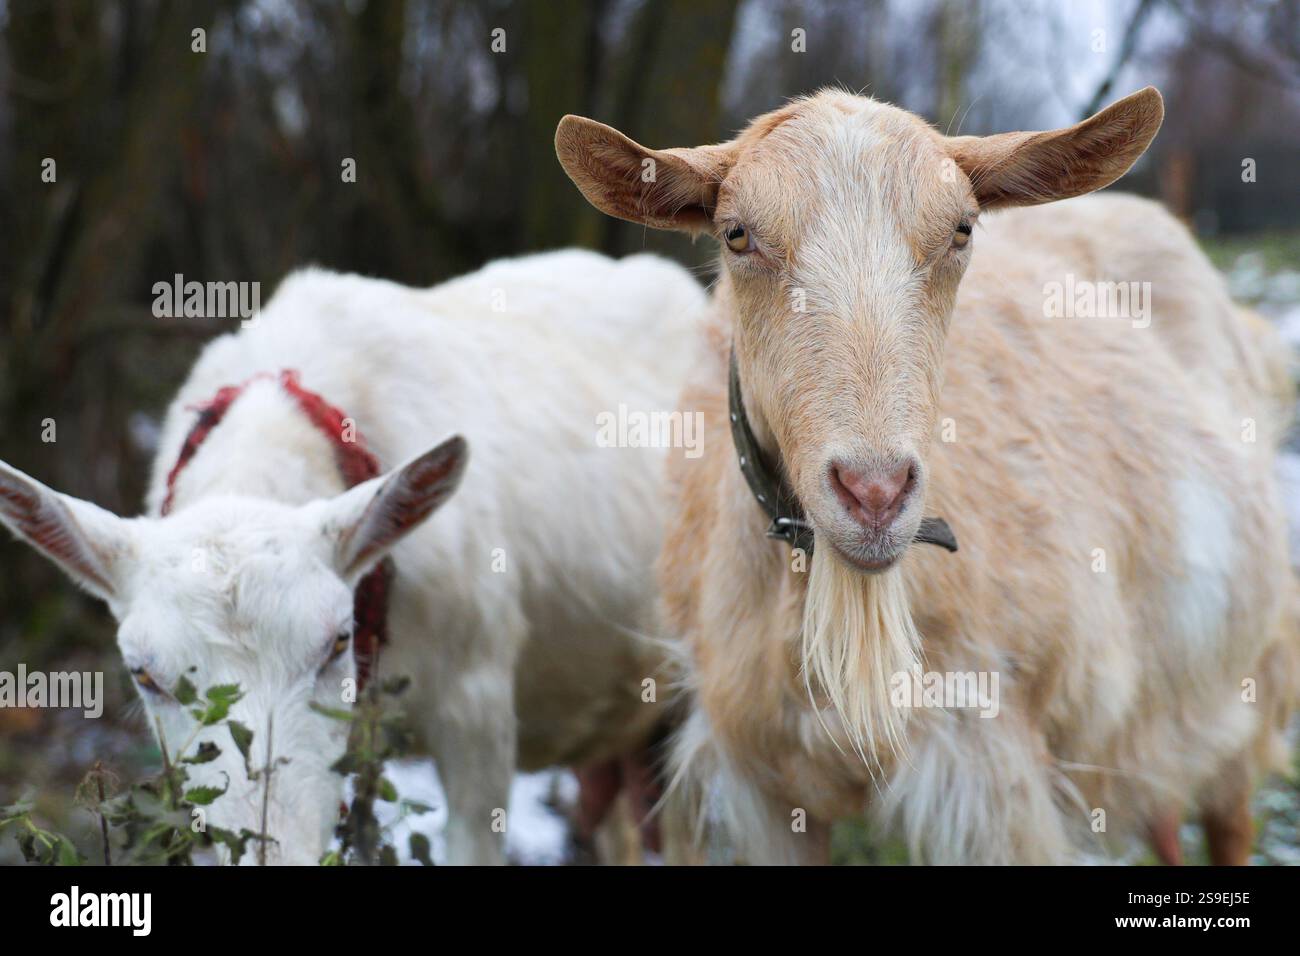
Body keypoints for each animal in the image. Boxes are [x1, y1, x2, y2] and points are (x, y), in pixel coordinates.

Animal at [556, 88, 1299, 864]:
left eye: (962, 230)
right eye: (736, 235)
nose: (874, 492)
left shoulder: (995, 779)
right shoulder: (759, 785)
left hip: (1243, 684)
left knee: (1231, 816)